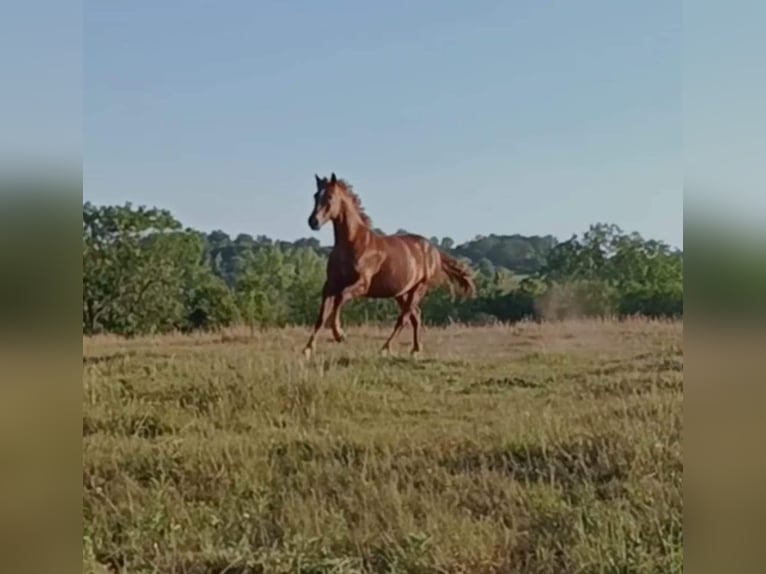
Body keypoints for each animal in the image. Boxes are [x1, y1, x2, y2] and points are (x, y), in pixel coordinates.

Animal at [304, 173, 474, 358]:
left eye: (330, 197)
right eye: (315, 195)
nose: (313, 222)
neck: (353, 243)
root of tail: (435, 251)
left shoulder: (361, 285)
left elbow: (340, 299)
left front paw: (339, 334)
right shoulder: (330, 285)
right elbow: (322, 315)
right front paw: (308, 348)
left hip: (418, 288)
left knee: (404, 318)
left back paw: (386, 348)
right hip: (401, 292)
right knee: (415, 315)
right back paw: (415, 349)